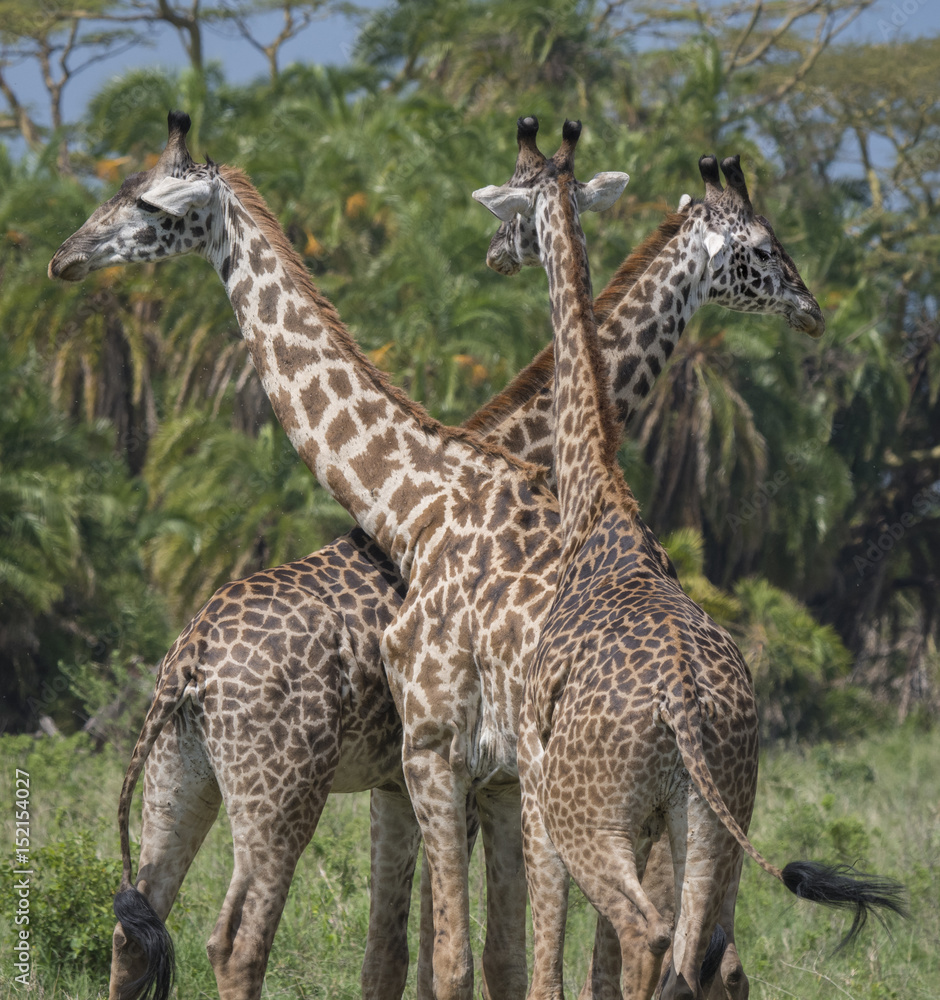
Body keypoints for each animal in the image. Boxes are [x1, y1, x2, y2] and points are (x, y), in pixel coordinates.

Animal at [47, 111, 826, 1000]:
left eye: (144, 200)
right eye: (764, 247)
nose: (67, 255)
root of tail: (188, 661)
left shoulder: (450, 772)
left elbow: (447, 957)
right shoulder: (442, 770)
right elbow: (447, 957)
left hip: (226, 783)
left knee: (177, 933)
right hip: (249, 783)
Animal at [475, 127, 906, 1000]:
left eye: (513, 195)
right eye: (766, 246)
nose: (811, 310)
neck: (599, 503)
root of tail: (684, 706)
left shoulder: (536, 780)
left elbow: (553, 951)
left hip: (590, 813)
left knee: (649, 936)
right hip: (716, 816)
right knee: (706, 952)